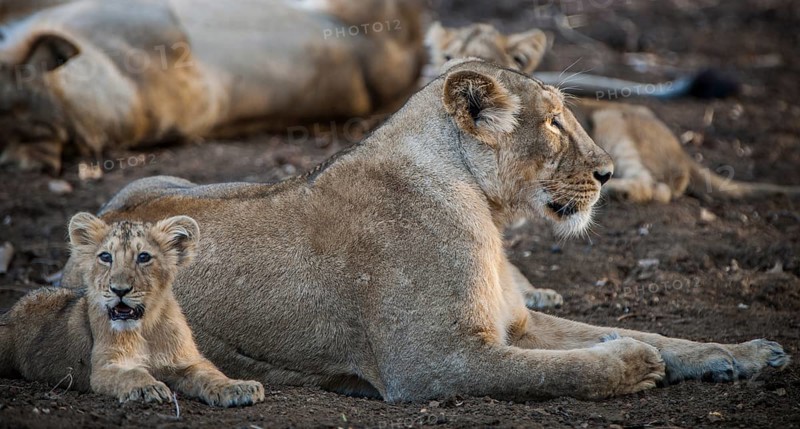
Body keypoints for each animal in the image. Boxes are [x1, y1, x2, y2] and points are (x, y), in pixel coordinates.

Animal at [0, 213, 265, 406]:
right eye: (106, 257)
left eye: (144, 257)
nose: (119, 290)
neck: (146, 327)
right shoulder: (105, 368)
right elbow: (132, 374)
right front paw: (148, 388)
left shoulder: (187, 361)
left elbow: (212, 374)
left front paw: (238, 387)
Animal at [53, 60, 788, 402]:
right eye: (553, 122)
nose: (608, 173)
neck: (485, 210)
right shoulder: (434, 361)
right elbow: (565, 366)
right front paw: (631, 362)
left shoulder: (513, 323)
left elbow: (656, 332)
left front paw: (743, 352)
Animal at [425, 22, 800, 202]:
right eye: (446, 55)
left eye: (484, 57)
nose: (448, 73)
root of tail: (684, 153)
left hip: (613, 120)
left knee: (658, 188)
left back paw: (616, 190)